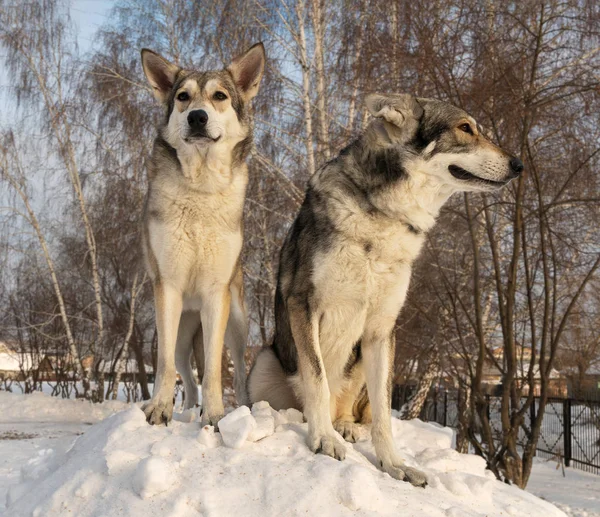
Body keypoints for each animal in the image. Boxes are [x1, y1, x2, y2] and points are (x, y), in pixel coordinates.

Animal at [142, 42, 266, 426]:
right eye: (183, 97)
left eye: (219, 96)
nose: (197, 117)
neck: (200, 189)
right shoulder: (167, 287)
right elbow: (165, 367)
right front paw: (158, 410)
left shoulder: (215, 293)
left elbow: (213, 369)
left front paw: (214, 417)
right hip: (180, 333)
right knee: (182, 373)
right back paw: (177, 411)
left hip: (236, 323)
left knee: (237, 373)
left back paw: (240, 408)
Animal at [246, 94, 524, 486]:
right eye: (465, 127)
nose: (520, 165)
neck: (384, 215)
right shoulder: (303, 304)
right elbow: (317, 379)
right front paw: (322, 439)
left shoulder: (382, 330)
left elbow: (383, 412)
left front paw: (394, 464)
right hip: (264, 365)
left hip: (360, 360)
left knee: (352, 413)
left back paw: (345, 427)